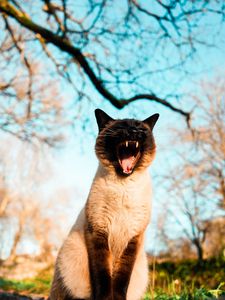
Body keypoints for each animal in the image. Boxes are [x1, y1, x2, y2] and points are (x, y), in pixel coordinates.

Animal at [49, 108, 158, 300]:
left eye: (139, 128)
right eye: (121, 127)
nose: (133, 131)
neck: (123, 186)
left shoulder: (133, 238)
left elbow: (121, 280)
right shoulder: (98, 232)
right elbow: (103, 277)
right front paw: (106, 298)